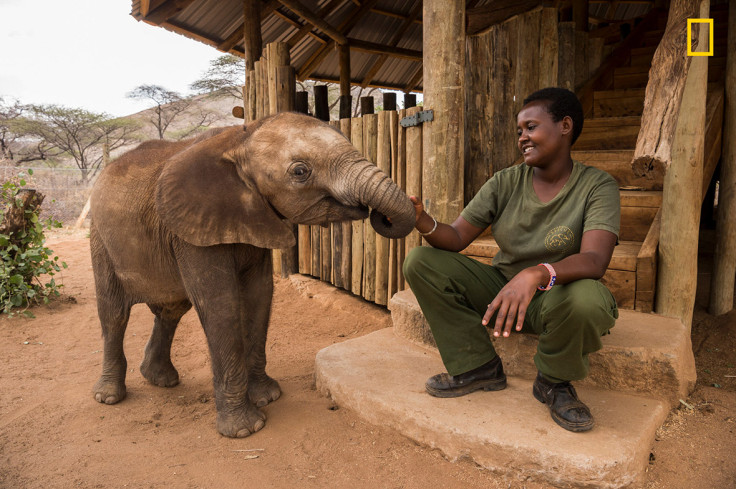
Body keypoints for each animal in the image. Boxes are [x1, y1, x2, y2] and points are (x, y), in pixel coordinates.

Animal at [89, 112, 416, 436]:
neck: (239, 139)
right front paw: (246, 429)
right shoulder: (193, 231)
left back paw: (160, 379)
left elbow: (259, 295)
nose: (379, 214)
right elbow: (221, 305)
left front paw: (268, 397)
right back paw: (109, 397)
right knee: (114, 313)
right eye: (300, 172)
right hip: (100, 239)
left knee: (171, 310)